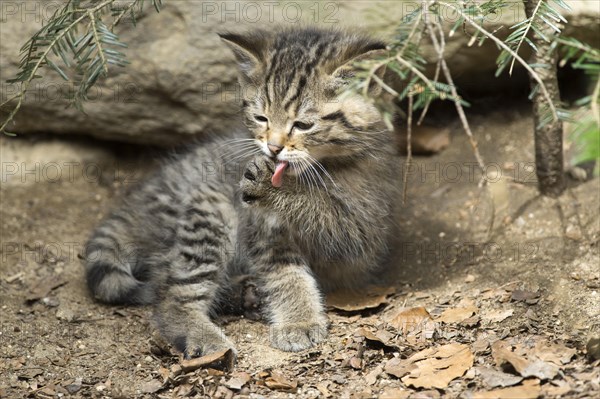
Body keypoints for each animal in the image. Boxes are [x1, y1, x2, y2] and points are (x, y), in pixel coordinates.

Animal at [81, 26, 398, 360]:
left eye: (303, 124)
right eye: (261, 118)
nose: (273, 148)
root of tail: (138, 203)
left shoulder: (364, 228)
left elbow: (323, 216)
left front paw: (278, 191)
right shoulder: (259, 230)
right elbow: (285, 272)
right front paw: (298, 319)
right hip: (210, 211)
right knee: (171, 296)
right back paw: (207, 337)